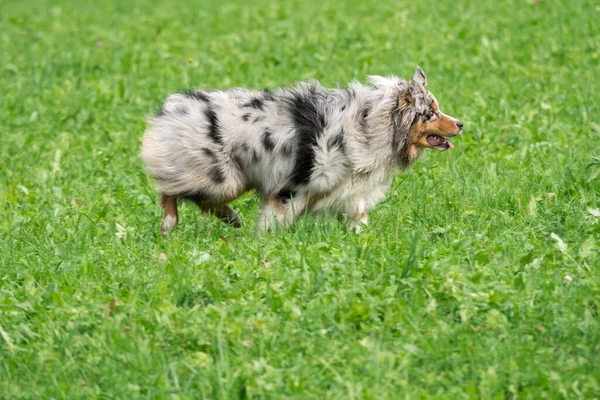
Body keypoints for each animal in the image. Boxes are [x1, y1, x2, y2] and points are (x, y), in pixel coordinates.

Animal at [142, 66, 464, 234]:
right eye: (430, 114)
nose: (461, 124)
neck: (369, 126)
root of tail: (171, 109)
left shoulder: (349, 194)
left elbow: (358, 221)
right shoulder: (291, 189)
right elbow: (275, 221)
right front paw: (266, 242)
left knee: (198, 200)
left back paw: (231, 219)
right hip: (223, 179)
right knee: (170, 190)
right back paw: (170, 224)